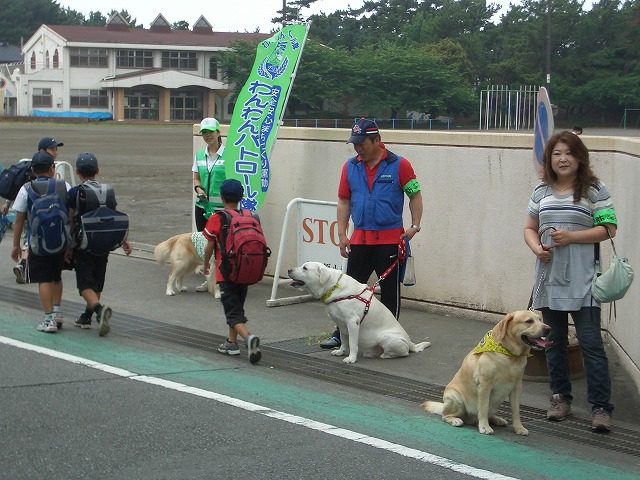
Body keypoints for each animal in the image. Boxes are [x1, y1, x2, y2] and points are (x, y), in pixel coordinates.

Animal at [288, 262, 430, 364]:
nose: (289, 270)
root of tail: (411, 343)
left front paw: (351, 358)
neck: (332, 287)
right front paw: (340, 352)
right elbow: (344, 341)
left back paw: (385, 355)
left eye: (305, 268)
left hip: (386, 337)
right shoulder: (341, 324)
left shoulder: (352, 323)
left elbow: (352, 343)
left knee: (404, 353)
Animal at [422, 310, 552, 436]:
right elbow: (483, 408)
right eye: (529, 321)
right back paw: (455, 420)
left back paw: (497, 419)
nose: (548, 329)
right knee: (445, 416)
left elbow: (516, 411)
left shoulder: (517, 387)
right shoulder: (485, 385)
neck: (509, 355)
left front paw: (519, 428)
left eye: (540, 319)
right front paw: (484, 427)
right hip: (456, 398)